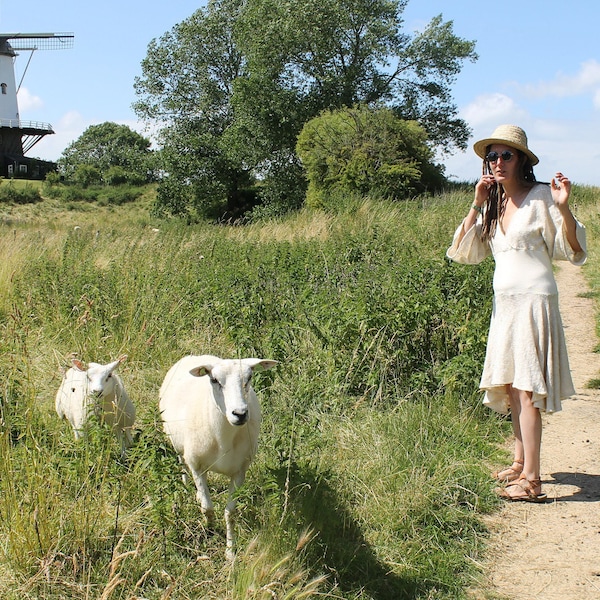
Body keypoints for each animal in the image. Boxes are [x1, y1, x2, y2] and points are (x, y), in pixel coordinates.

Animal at [157, 354, 274, 560]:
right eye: (214, 380)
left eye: (249, 378)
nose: (240, 414)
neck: (223, 439)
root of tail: (195, 356)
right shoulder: (197, 465)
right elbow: (208, 508)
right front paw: (210, 531)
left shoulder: (239, 471)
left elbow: (230, 513)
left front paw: (230, 552)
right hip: (176, 442)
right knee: (182, 464)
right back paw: (186, 486)